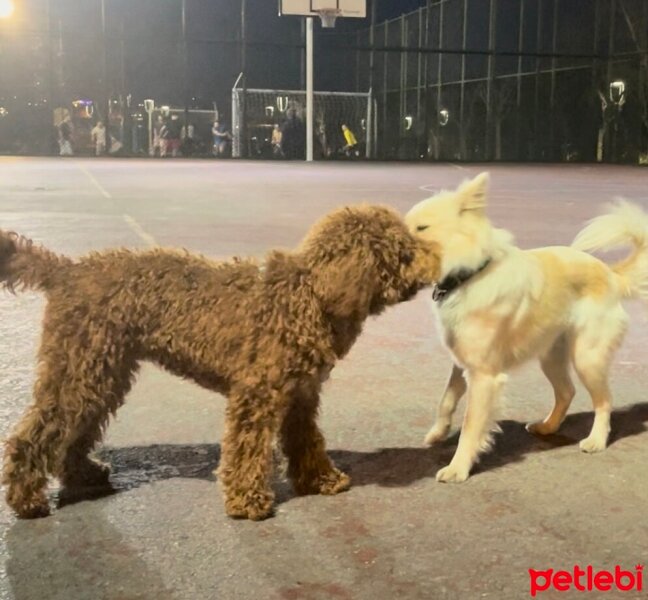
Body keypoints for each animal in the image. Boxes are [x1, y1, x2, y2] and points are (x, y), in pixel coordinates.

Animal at [1, 204, 440, 516]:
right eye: (403, 253)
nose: (437, 256)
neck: (310, 296)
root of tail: (67, 271)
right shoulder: (256, 394)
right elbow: (247, 448)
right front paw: (247, 501)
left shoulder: (300, 396)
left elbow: (307, 441)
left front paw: (321, 480)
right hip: (79, 369)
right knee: (37, 433)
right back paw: (27, 500)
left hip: (101, 372)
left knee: (73, 431)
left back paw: (84, 474)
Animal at [404, 172, 648, 482]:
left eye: (422, 228)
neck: (471, 274)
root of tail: (611, 275)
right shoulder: (462, 365)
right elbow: (446, 401)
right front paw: (438, 433)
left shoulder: (483, 376)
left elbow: (471, 425)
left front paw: (459, 468)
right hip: (551, 357)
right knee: (567, 392)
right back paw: (547, 427)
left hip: (587, 358)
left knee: (604, 400)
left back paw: (596, 440)